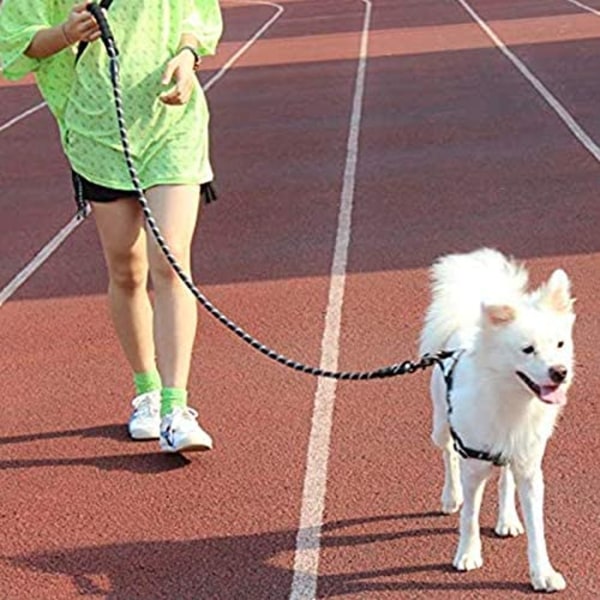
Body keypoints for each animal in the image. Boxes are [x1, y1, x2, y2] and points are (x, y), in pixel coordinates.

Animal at [420, 247, 576, 592]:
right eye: (527, 350)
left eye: (560, 344)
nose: (560, 372)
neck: (513, 399)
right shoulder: (473, 466)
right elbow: (470, 516)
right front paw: (467, 554)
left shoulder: (529, 467)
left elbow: (537, 529)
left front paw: (543, 574)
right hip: (440, 426)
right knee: (447, 454)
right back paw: (451, 497)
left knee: (505, 479)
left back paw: (507, 520)